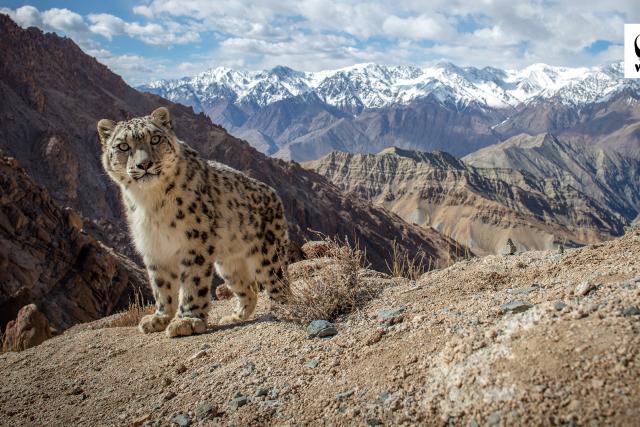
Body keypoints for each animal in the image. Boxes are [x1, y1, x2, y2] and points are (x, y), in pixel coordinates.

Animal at [97, 107, 290, 337]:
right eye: (123, 146)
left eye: (155, 139)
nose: (144, 164)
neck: (150, 202)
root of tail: (274, 194)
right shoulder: (153, 247)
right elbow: (160, 285)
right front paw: (159, 317)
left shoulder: (195, 241)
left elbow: (192, 281)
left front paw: (186, 320)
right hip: (229, 265)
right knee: (249, 289)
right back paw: (234, 317)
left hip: (269, 255)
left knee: (279, 283)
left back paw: (283, 309)